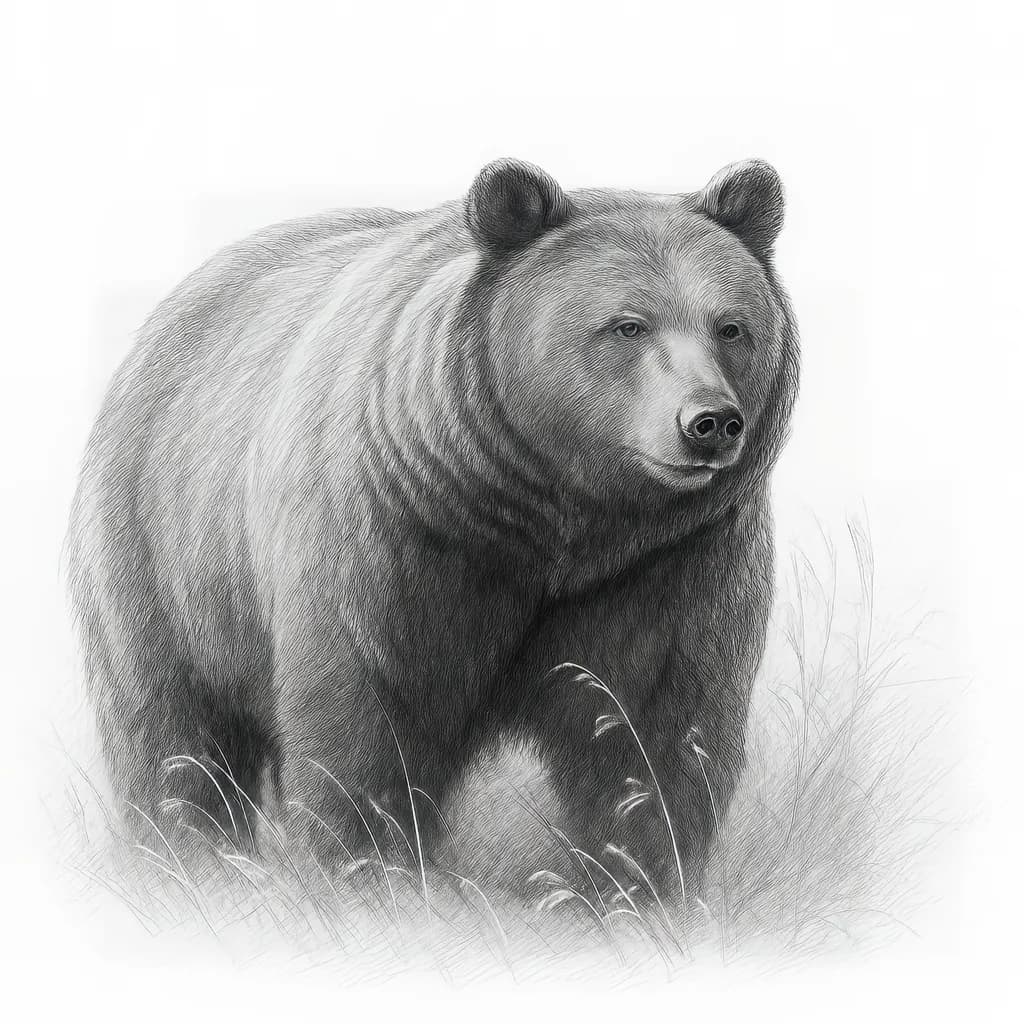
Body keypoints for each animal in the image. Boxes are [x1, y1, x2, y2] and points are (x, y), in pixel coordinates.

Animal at [66, 158, 798, 897]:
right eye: (628, 325)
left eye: (731, 326)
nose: (710, 421)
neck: (557, 518)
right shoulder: (397, 536)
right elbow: (365, 718)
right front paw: (365, 870)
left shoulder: (668, 561)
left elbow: (651, 730)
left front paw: (635, 880)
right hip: (164, 555)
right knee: (173, 736)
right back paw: (188, 858)